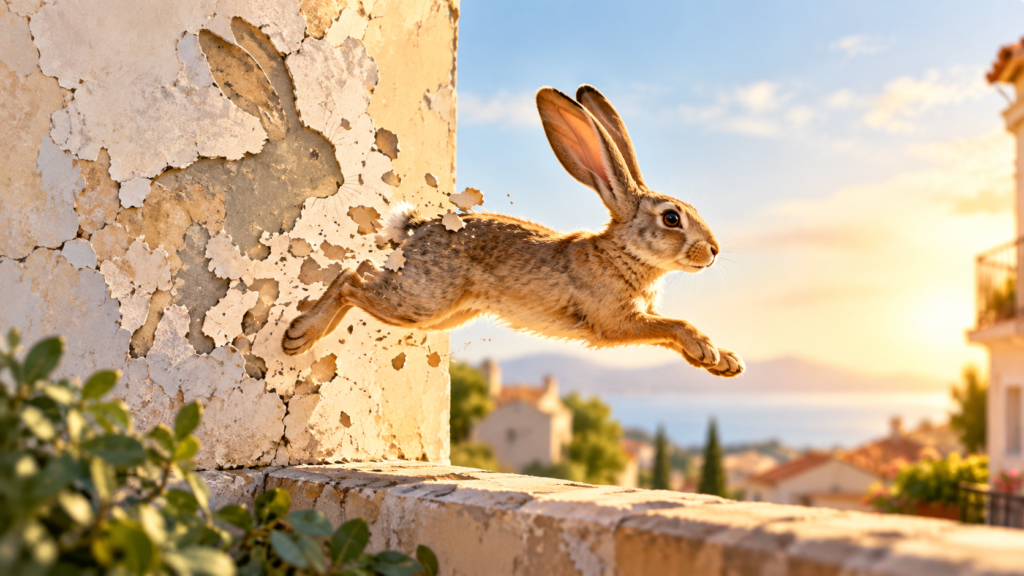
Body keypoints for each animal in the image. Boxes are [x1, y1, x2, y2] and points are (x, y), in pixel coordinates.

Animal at [282, 85, 744, 378]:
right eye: (671, 219)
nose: (713, 251)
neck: (624, 254)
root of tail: (417, 228)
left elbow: (670, 337)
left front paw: (721, 362)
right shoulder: (617, 321)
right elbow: (672, 326)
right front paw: (707, 349)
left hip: (443, 314)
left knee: (359, 276)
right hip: (422, 302)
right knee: (350, 278)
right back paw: (300, 335)